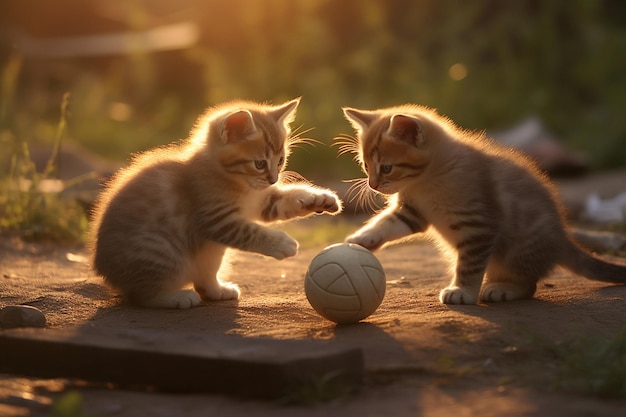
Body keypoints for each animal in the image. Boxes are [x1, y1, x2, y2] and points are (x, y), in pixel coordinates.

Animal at [91, 96, 342, 306]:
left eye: (281, 160)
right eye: (259, 163)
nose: (273, 179)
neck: (236, 182)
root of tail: (105, 270)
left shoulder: (260, 202)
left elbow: (285, 200)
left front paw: (320, 198)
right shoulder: (215, 218)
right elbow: (251, 232)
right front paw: (282, 243)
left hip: (208, 252)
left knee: (205, 275)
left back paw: (216, 290)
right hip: (159, 249)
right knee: (140, 295)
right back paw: (174, 297)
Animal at [336, 104, 624, 304]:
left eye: (386, 168)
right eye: (365, 166)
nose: (373, 184)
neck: (426, 180)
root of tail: (562, 238)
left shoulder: (479, 225)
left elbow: (470, 263)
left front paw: (462, 290)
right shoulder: (412, 211)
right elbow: (387, 222)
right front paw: (362, 239)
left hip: (516, 251)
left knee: (529, 284)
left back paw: (504, 289)